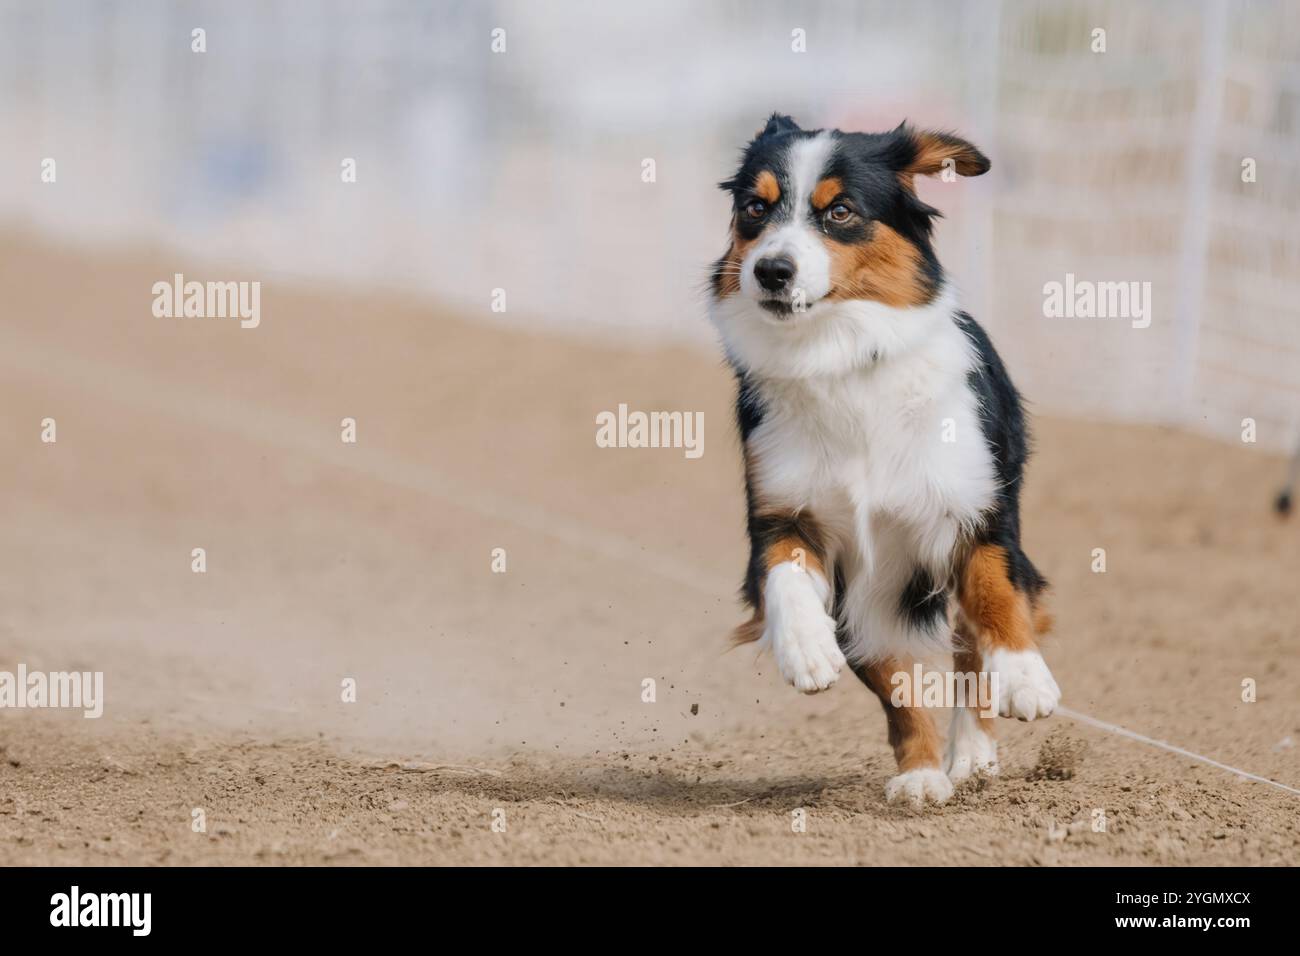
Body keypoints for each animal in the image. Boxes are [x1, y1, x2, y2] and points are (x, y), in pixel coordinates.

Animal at [712, 117, 1055, 806]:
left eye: (841, 211)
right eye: (754, 209)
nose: (771, 270)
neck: (839, 355)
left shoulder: (975, 512)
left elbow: (996, 602)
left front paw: (1027, 679)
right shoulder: (785, 515)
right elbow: (790, 579)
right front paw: (806, 648)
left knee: (969, 642)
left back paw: (972, 752)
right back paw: (925, 770)